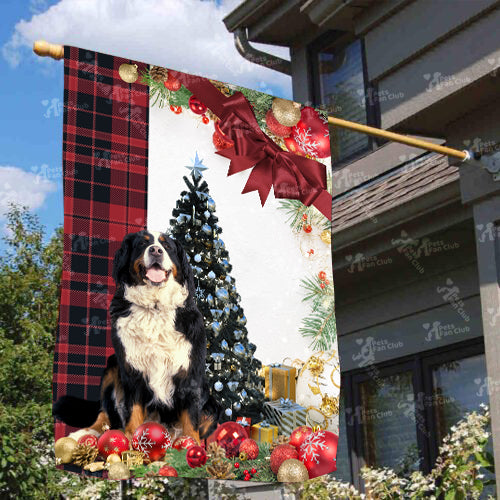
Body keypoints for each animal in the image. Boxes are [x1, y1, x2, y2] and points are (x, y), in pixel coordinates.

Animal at [53, 230, 220, 442]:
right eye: (142, 244)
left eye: (167, 246)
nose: (156, 250)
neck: (154, 307)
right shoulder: (131, 369)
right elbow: (133, 411)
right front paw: (132, 440)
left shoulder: (189, 370)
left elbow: (190, 417)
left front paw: (192, 444)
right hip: (112, 366)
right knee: (104, 413)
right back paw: (84, 433)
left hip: (212, 405)